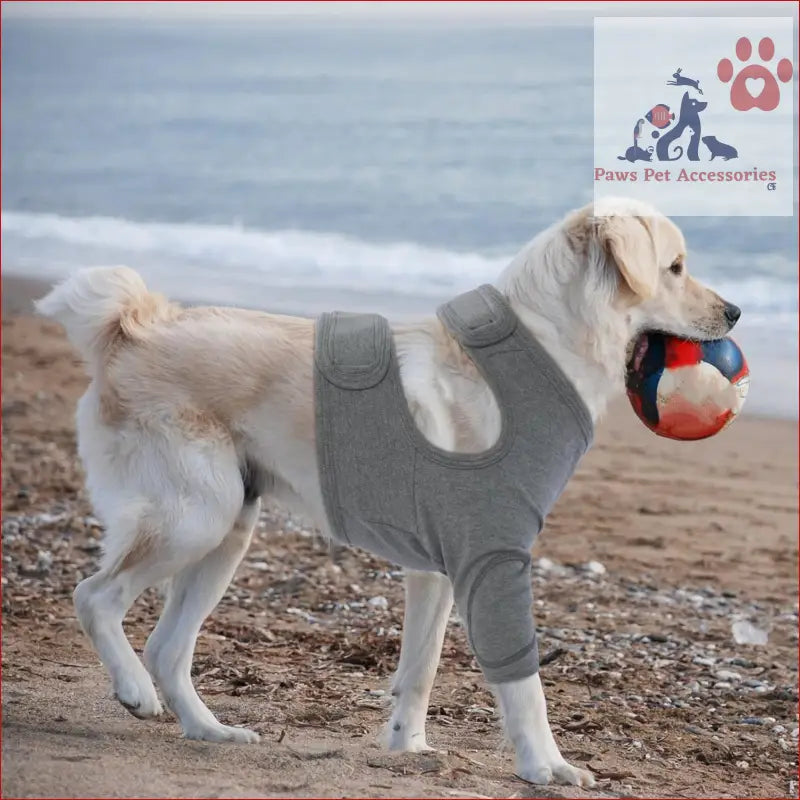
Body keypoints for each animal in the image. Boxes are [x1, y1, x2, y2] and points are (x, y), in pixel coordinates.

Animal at [36, 197, 736, 784]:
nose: (734, 313)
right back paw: (133, 692)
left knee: (167, 647)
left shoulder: (440, 573)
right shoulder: (493, 562)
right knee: (96, 597)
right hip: (194, 519)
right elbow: (524, 684)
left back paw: (210, 730)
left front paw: (408, 746)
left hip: (226, 532)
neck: (539, 352)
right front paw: (546, 767)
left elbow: (419, 670)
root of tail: (134, 328)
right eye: (675, 268)